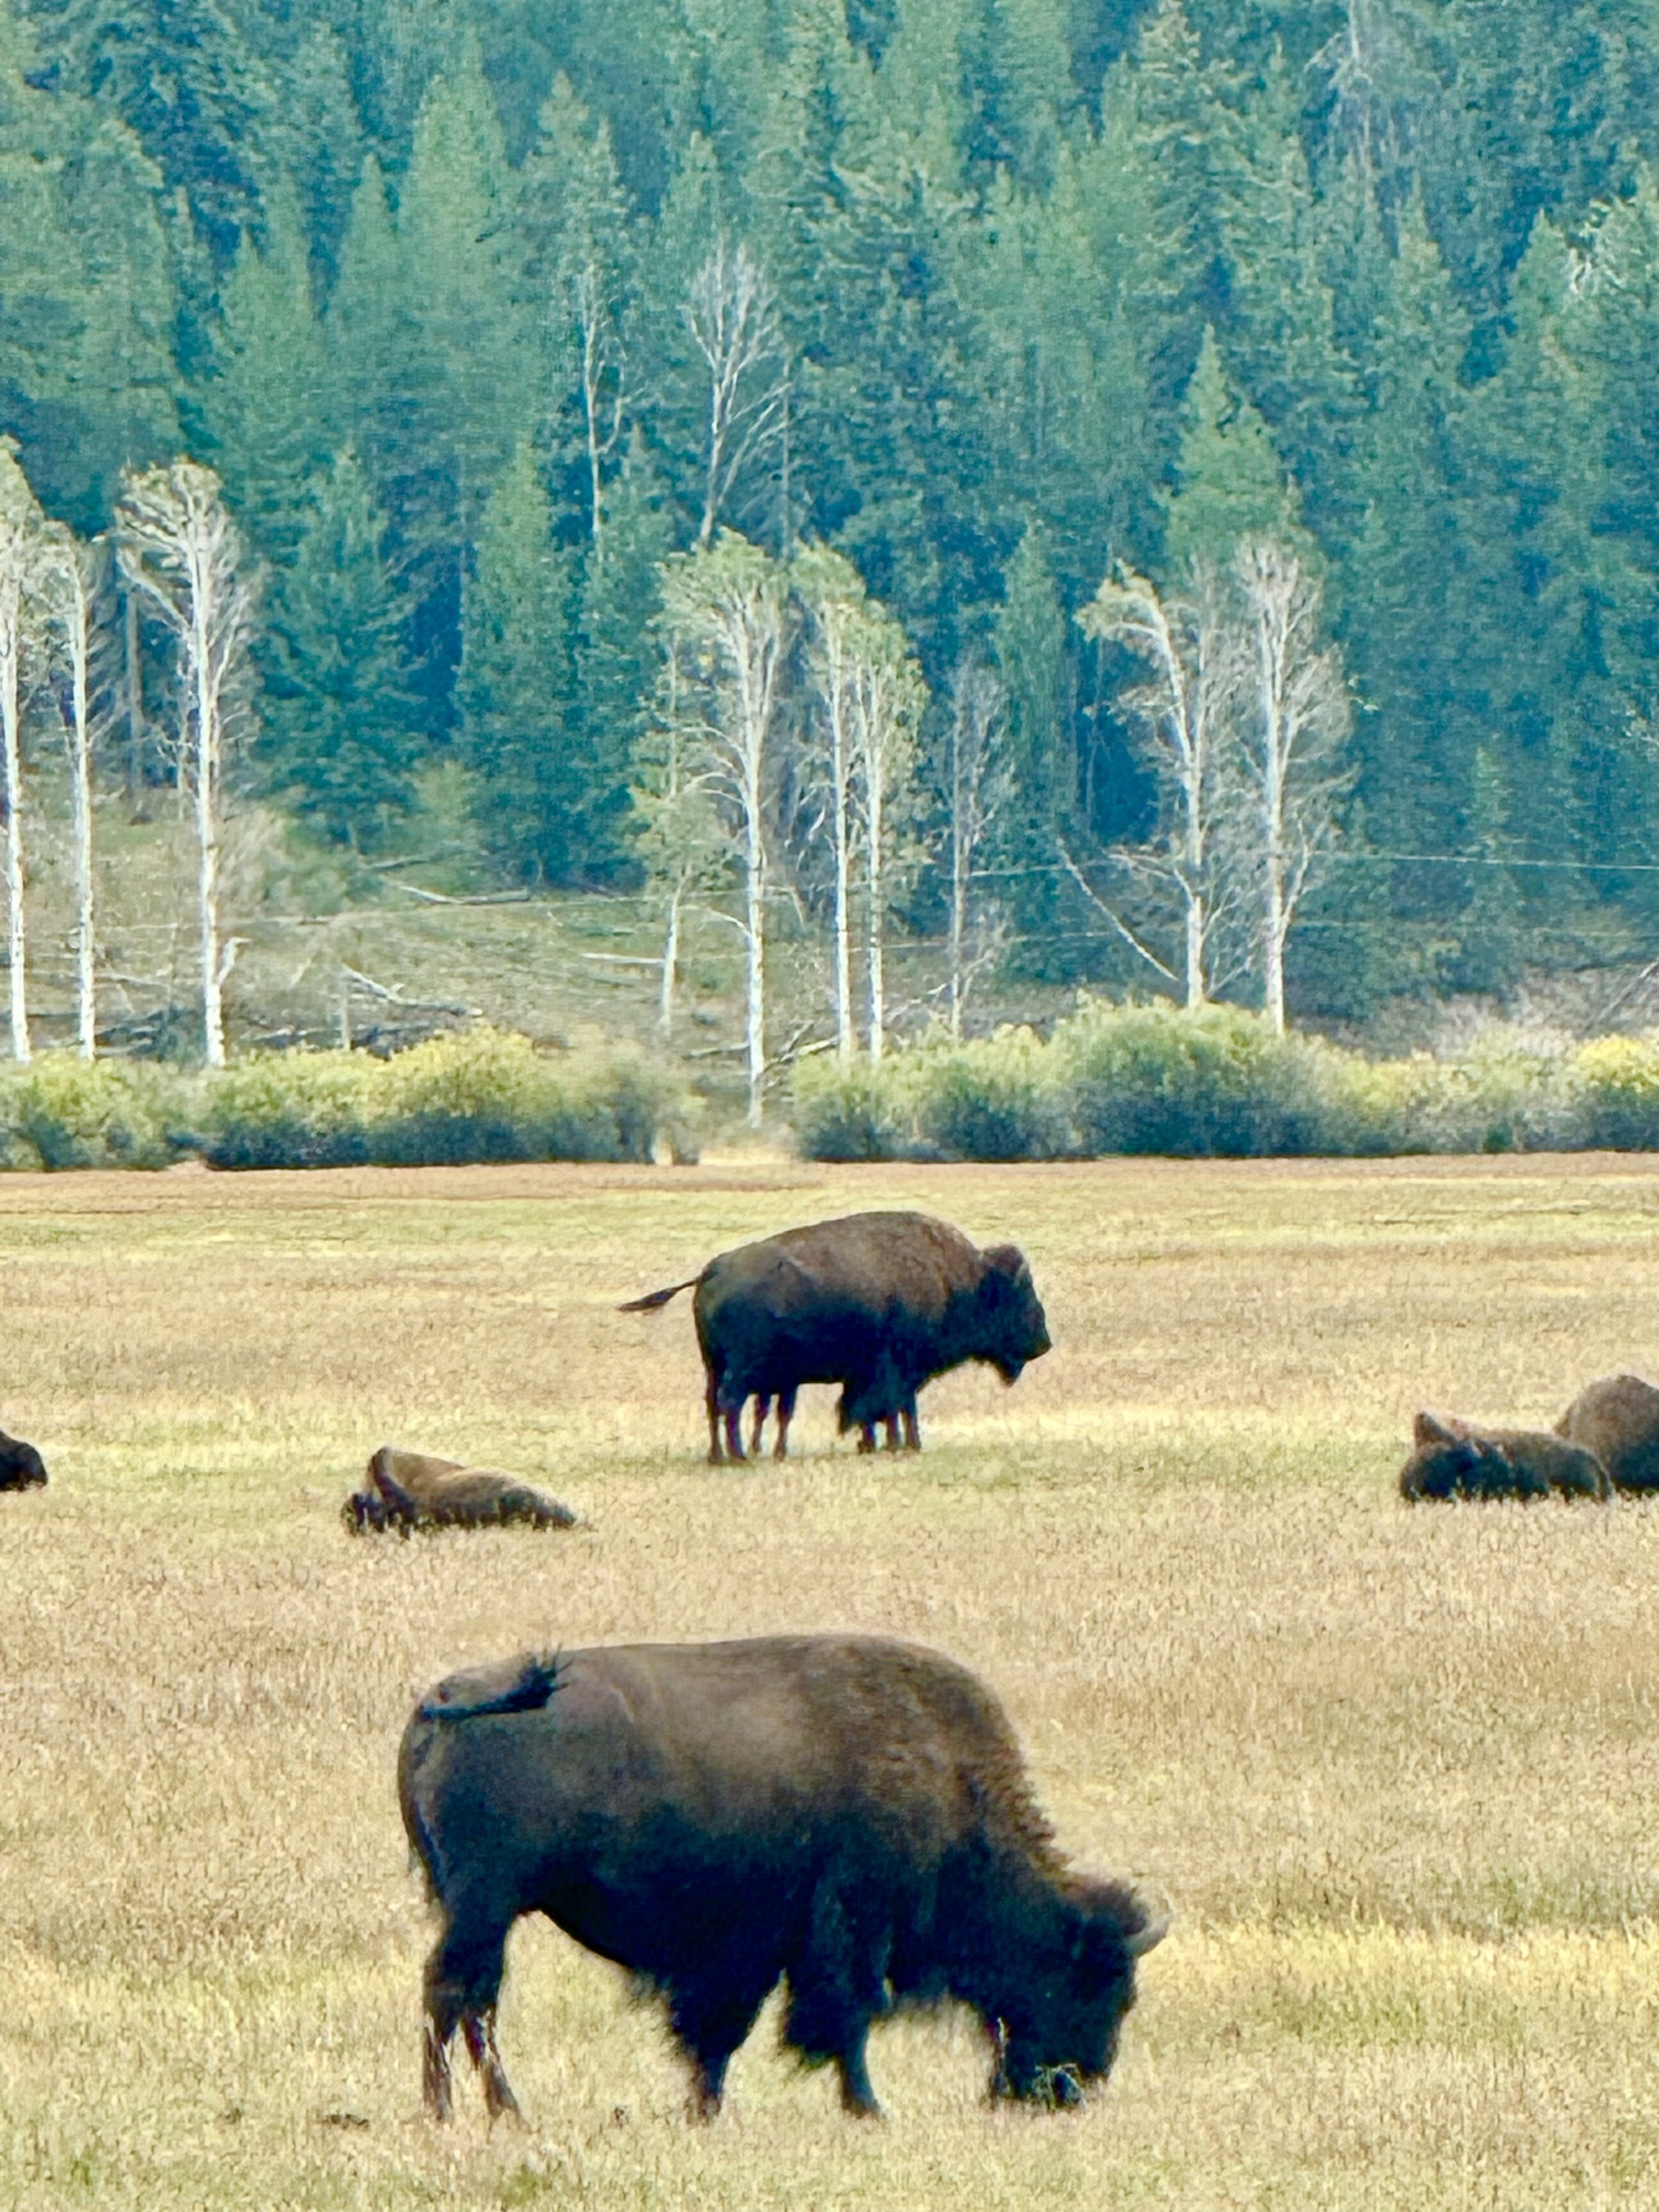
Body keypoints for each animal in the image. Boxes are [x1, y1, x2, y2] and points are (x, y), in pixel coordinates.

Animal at [400, 1633, 1166, 2123]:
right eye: (1096, 1985)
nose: (1070, 2089)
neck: (945, 1777)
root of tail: (441, 1698)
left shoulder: (753, 1949)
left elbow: (721, 2031)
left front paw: (705, 2108)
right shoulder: (846, 1931)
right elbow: (846, 2018)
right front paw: (868, 2109)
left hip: (480, 1910)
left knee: (470, 2002)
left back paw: (491, 2110)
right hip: (487, 1905)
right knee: (456, 1996)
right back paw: (463, 2112)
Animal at [620, 1210, 1052, 1461]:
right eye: (1020, 1293)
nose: (1043, 1343)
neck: (958, 1278)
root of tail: (713, 1270)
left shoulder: (868, 1375)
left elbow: (877, 1410)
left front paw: (876, 1443)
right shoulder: (898, 1369)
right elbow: (896, 1407)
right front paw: (903, 1444)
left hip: (714, 1365)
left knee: (714, 1404)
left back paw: (719, 1455)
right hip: (741, 1370)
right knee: (729, 1404)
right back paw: (738, 1455)